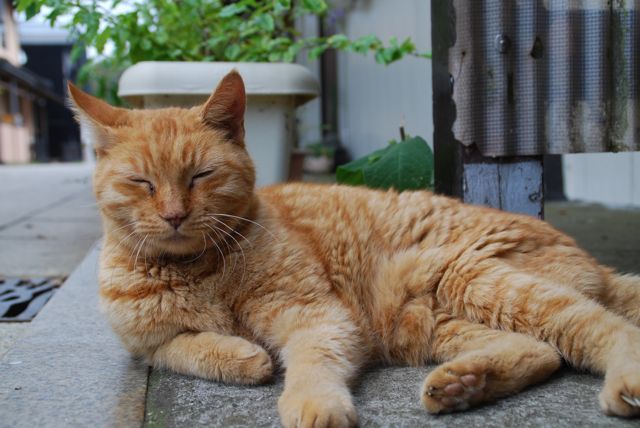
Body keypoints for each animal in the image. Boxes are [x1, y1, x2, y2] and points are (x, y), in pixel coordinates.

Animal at [67, 70, 636, 424]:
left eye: (200, 176)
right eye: (141, 182)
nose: (174, 215)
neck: (195, 271)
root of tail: (598, 265)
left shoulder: (316, 316)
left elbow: (312, 362)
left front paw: (312, 403)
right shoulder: (144, 347)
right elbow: (183, 349)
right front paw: (243, 355)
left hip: (473, 278)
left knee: (600, 326)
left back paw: (622, 382)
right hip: (432, 324)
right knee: (541, 350)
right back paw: (464, 385)